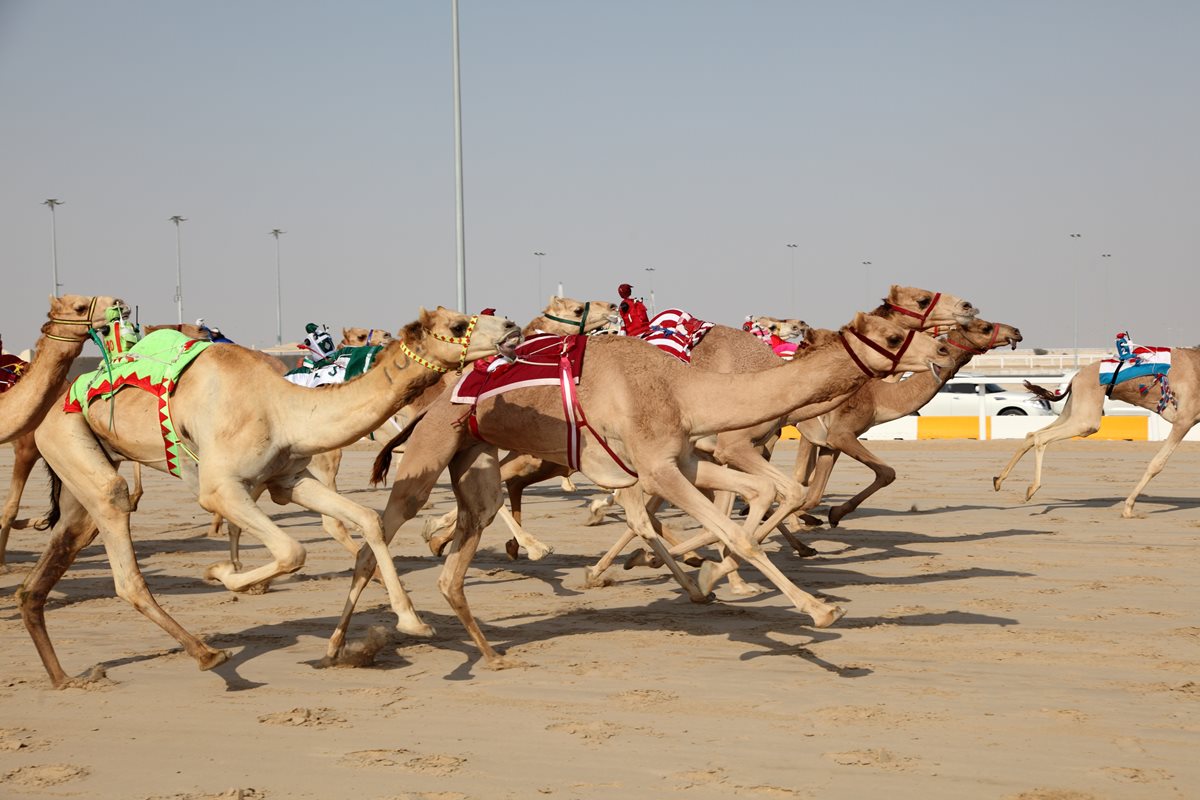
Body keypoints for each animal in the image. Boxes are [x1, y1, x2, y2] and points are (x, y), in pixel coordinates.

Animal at [14, 307, 520, 690]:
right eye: (458, 323)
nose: (512, 326)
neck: (284, 408)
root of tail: (54, 407)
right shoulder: (220, 488)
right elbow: (292, 550)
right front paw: (223, 575)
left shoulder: (288, 478)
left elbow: (368, 520)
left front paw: (412, 621)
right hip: (67, 440)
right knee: (123, 557)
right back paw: (209, 655)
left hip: (82, 471)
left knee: (51, 563)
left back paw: (65, 678)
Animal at [326, 311, 945, 671]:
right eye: (896, 334)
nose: (939, 354)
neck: (684, 388)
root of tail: (432, 399)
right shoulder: (658, 468)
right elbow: (740, 534)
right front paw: (819, 610)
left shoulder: (686, 460)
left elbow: (764, 496)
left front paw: (706, 576)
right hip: (430, 453)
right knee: (380, 536)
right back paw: (353, 642)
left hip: (474, 463)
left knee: (457, 558)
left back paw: (489, 652)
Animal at [792, 316, 1027, 527]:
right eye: (985, 327)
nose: (1016, 331)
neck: (878, 396)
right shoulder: (840, 433)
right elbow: (887, 473)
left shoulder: (831, 440)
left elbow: (813, 493)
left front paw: (828, 515)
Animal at [993, 352, 1200, 520]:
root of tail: (1076, 376)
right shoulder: (1184, 420)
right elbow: (1157, 464)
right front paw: (1128, 508)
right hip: (1087, 418)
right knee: (1041, 437)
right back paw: (1031, 489)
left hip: (1074, 409)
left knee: (1032, 434)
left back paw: (998, 480)